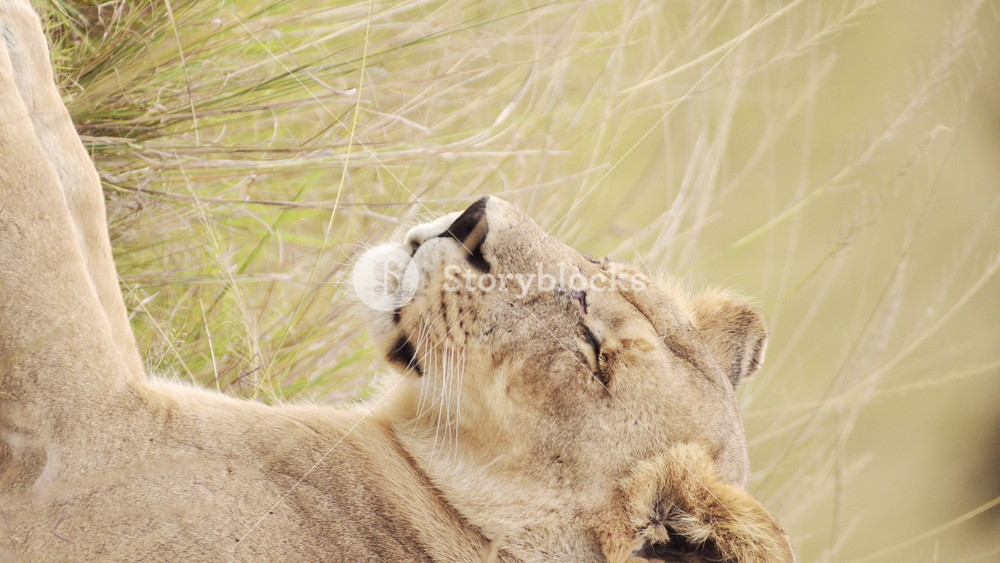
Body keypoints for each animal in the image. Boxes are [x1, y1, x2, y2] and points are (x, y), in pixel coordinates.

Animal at [0, 1, 793, 561]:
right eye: (602, 263)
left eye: (596, 350)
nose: (474, 218)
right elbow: (74, 180)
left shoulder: (89, 426)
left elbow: (35, 205)